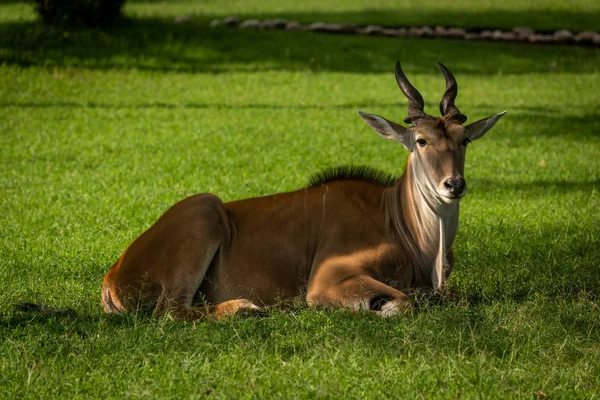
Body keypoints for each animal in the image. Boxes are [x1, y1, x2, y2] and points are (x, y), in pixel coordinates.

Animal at [103, 61, 506, 320]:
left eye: (464, 139)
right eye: (420, 140)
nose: (454, 184)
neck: (399, 221)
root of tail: (113, 275)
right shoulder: (329, 280)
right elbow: (405, 302)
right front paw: (381, 307)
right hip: (203, 211)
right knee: (170, 312)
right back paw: (243, 308)